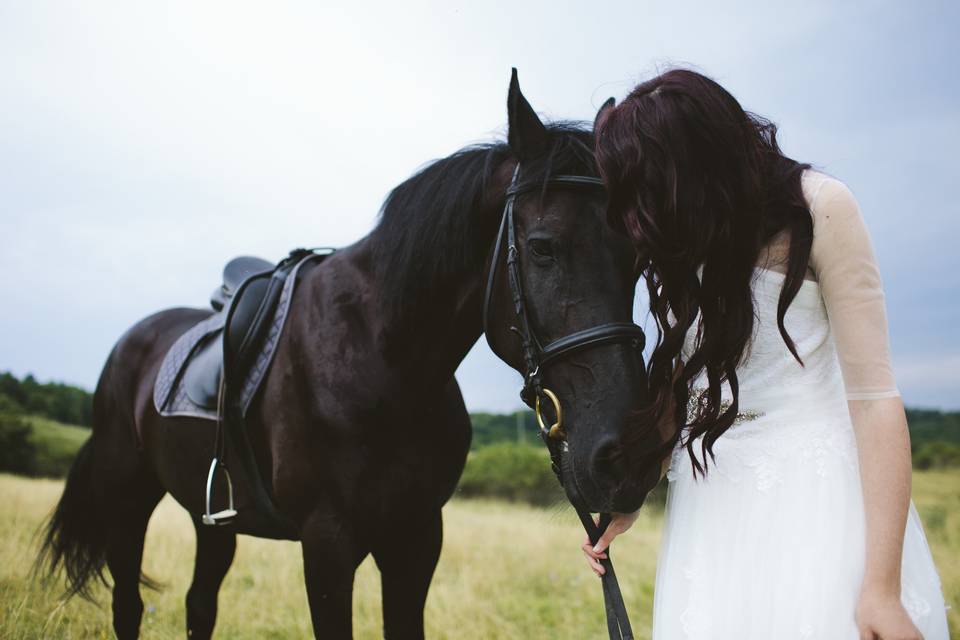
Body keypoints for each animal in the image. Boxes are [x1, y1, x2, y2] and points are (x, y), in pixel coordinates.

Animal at [35, 72, 652, 636]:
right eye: (543, 248)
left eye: (639, 260)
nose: (625, 456)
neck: (384, 361)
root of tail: (131, 344)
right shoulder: (327, 543)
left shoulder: (416, 538)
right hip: (127, 495)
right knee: (128, 605)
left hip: (213, 521)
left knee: (199, 605)